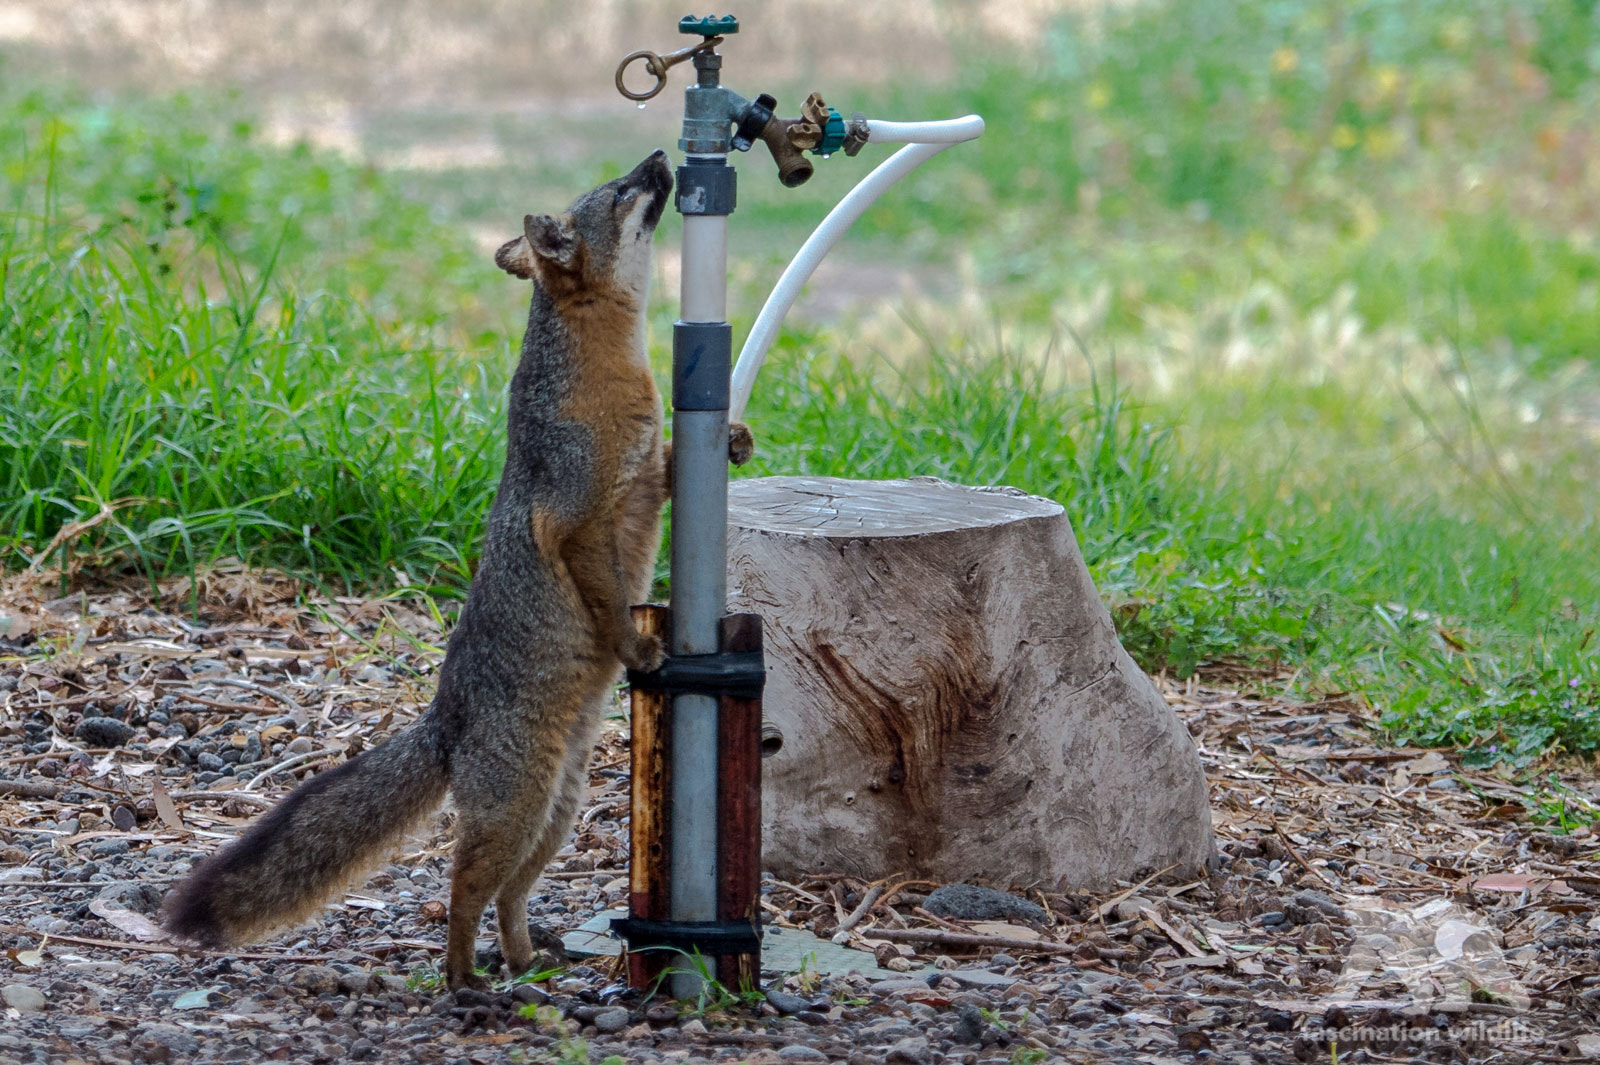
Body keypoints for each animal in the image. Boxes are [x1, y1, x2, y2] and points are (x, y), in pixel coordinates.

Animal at [161, 150, 753, 990]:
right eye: (621, 192)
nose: (660, 157)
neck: (610, 369)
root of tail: (447, 712)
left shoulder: (644, 478)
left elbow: (677, 459)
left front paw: (732, 438)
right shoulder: (572, 517)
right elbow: (607, 599)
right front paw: (634, 647)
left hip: (554, 812)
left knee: (506, 893)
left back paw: (524, 960)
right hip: (517, 809)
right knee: (461, 886)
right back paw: (462, 978)